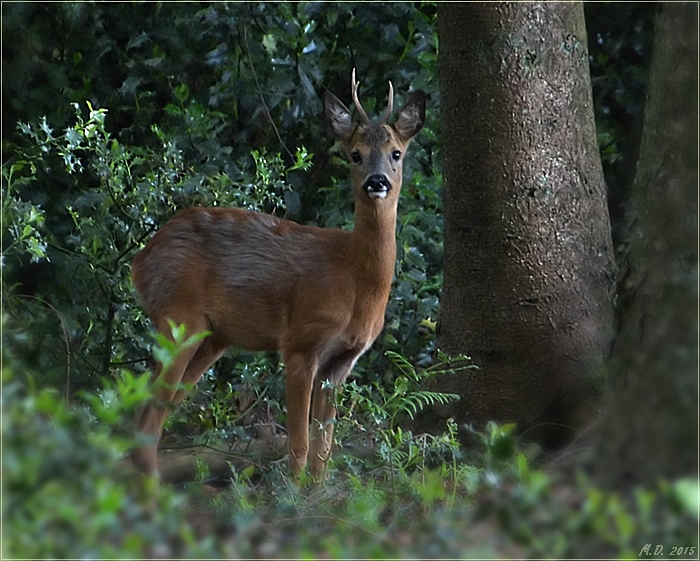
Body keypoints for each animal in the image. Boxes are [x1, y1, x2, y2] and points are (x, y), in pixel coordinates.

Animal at [131, 71, 426, 476]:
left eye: (396, 152)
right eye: (355, 154)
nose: (377, 181)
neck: (353, 277)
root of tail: (139, 262)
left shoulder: (342, 361)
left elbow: (324, 448)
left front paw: (317, 491)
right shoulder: (301, 342)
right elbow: (299, 445)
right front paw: (294, 490)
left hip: (212, 337)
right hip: (179, 318)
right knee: (146, 424)